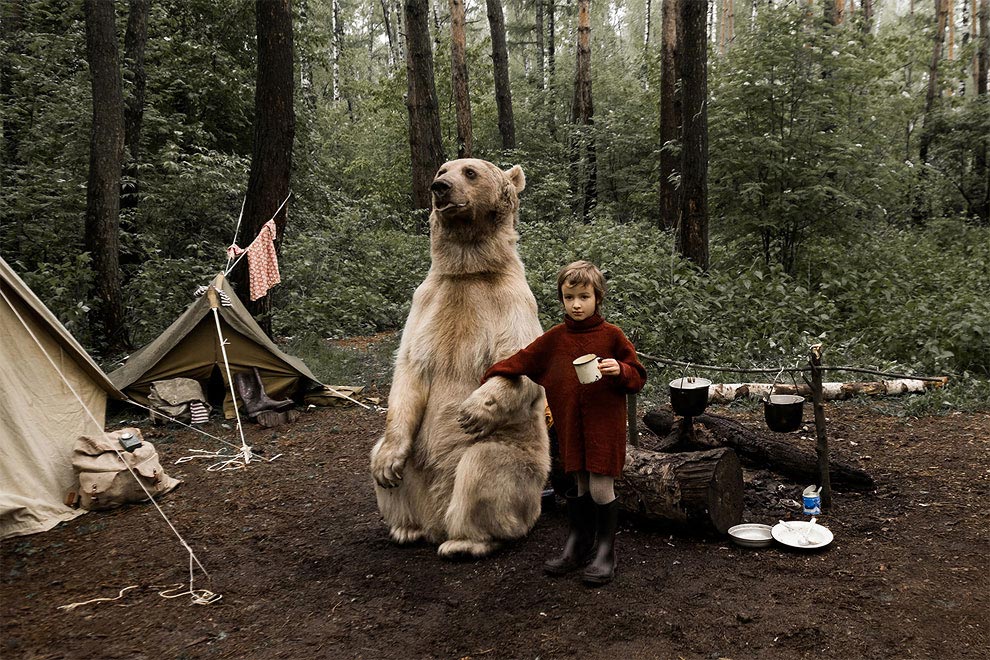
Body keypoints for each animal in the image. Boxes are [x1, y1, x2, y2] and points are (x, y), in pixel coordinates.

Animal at [369, 158, 549, 559]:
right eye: (443, 169)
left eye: (470, 171)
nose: (440, 187)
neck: (468, 270)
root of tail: (437, 519)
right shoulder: (428, 302)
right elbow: (409, 368)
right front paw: (387, 466)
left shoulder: (510, 301)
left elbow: (522, 364)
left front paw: (472, 411)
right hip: (418, 456)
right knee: (382, 457)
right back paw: (405, 526)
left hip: (522, 467)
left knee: (485, 467)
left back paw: (466, 540)